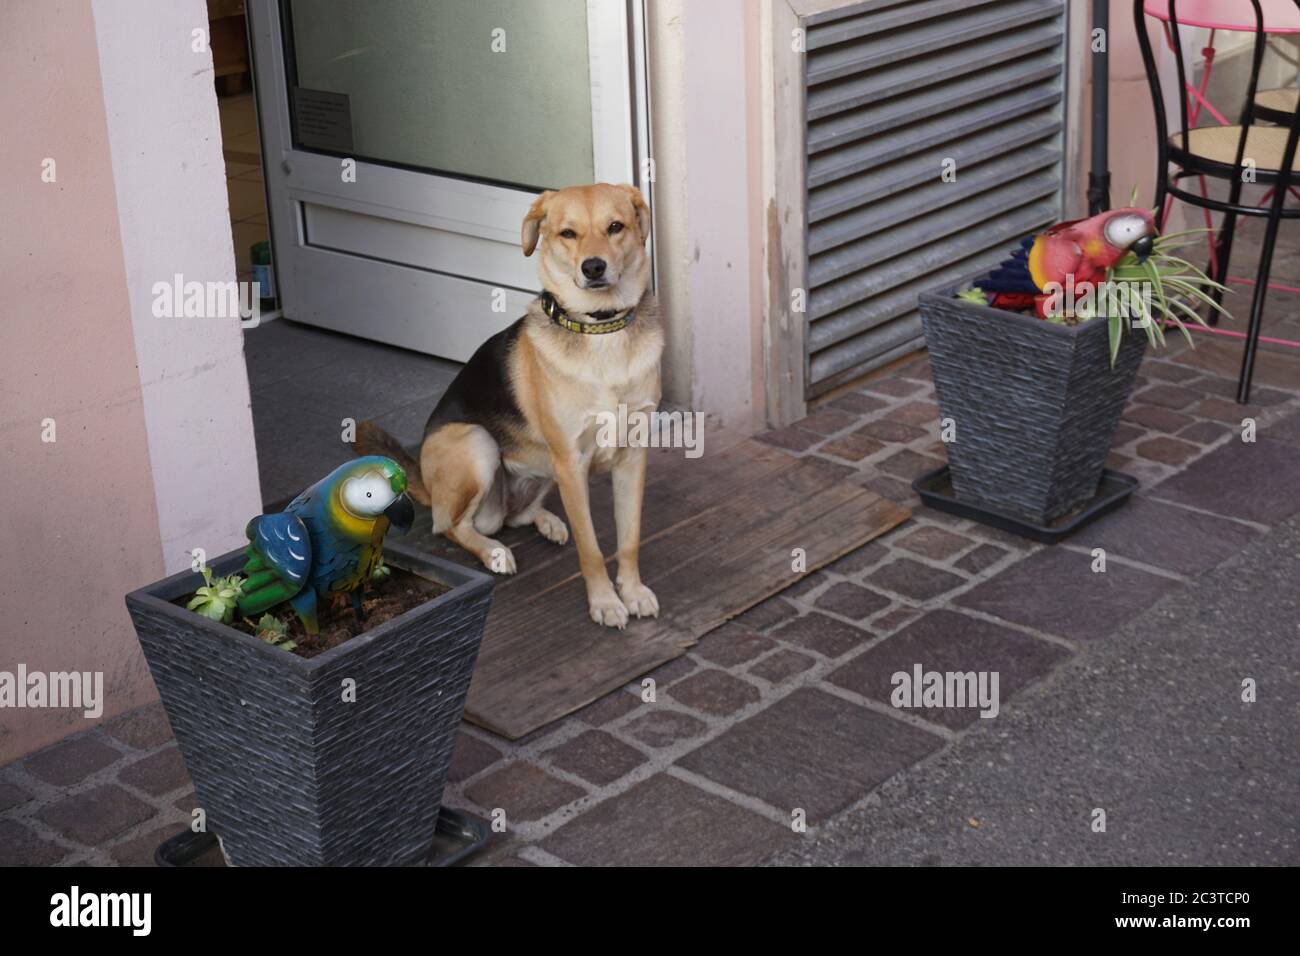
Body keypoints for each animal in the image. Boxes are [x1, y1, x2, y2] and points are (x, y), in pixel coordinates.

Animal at [353, 183, 665, 632]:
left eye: (615, 227)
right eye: (567, 233)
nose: (593, 267)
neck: (600, 330)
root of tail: (427, 483)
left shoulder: (632, 456)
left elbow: (629, 538)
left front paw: (633, 591)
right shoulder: (571, 462)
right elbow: (591, 547)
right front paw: (605, 602)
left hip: (542, 472)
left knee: (513, 517)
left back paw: (547, 521)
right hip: (477, 444)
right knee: (451, 525)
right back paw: (493, 551)